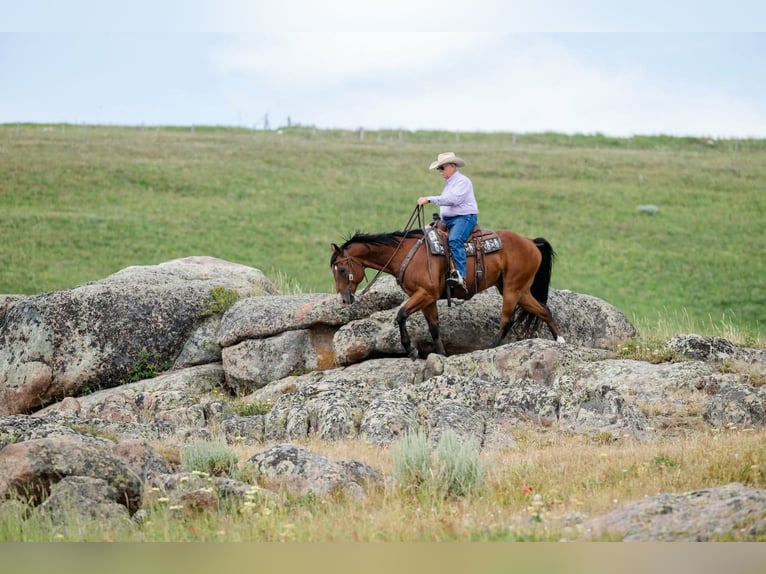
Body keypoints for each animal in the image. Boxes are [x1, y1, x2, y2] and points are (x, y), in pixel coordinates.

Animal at [330, 225, 565, 360]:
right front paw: (441, 355)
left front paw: (411, 350)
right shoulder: (428, 299)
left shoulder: (425, 294)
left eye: (341, 269)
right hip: (520, 290)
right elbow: (434, 327)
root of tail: (531, 242)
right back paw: (561, 341)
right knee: (544, 311)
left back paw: (488, 349)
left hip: (512, 289)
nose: (342, 300)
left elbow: (401, 315)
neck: (405, 253)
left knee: (506, 321)